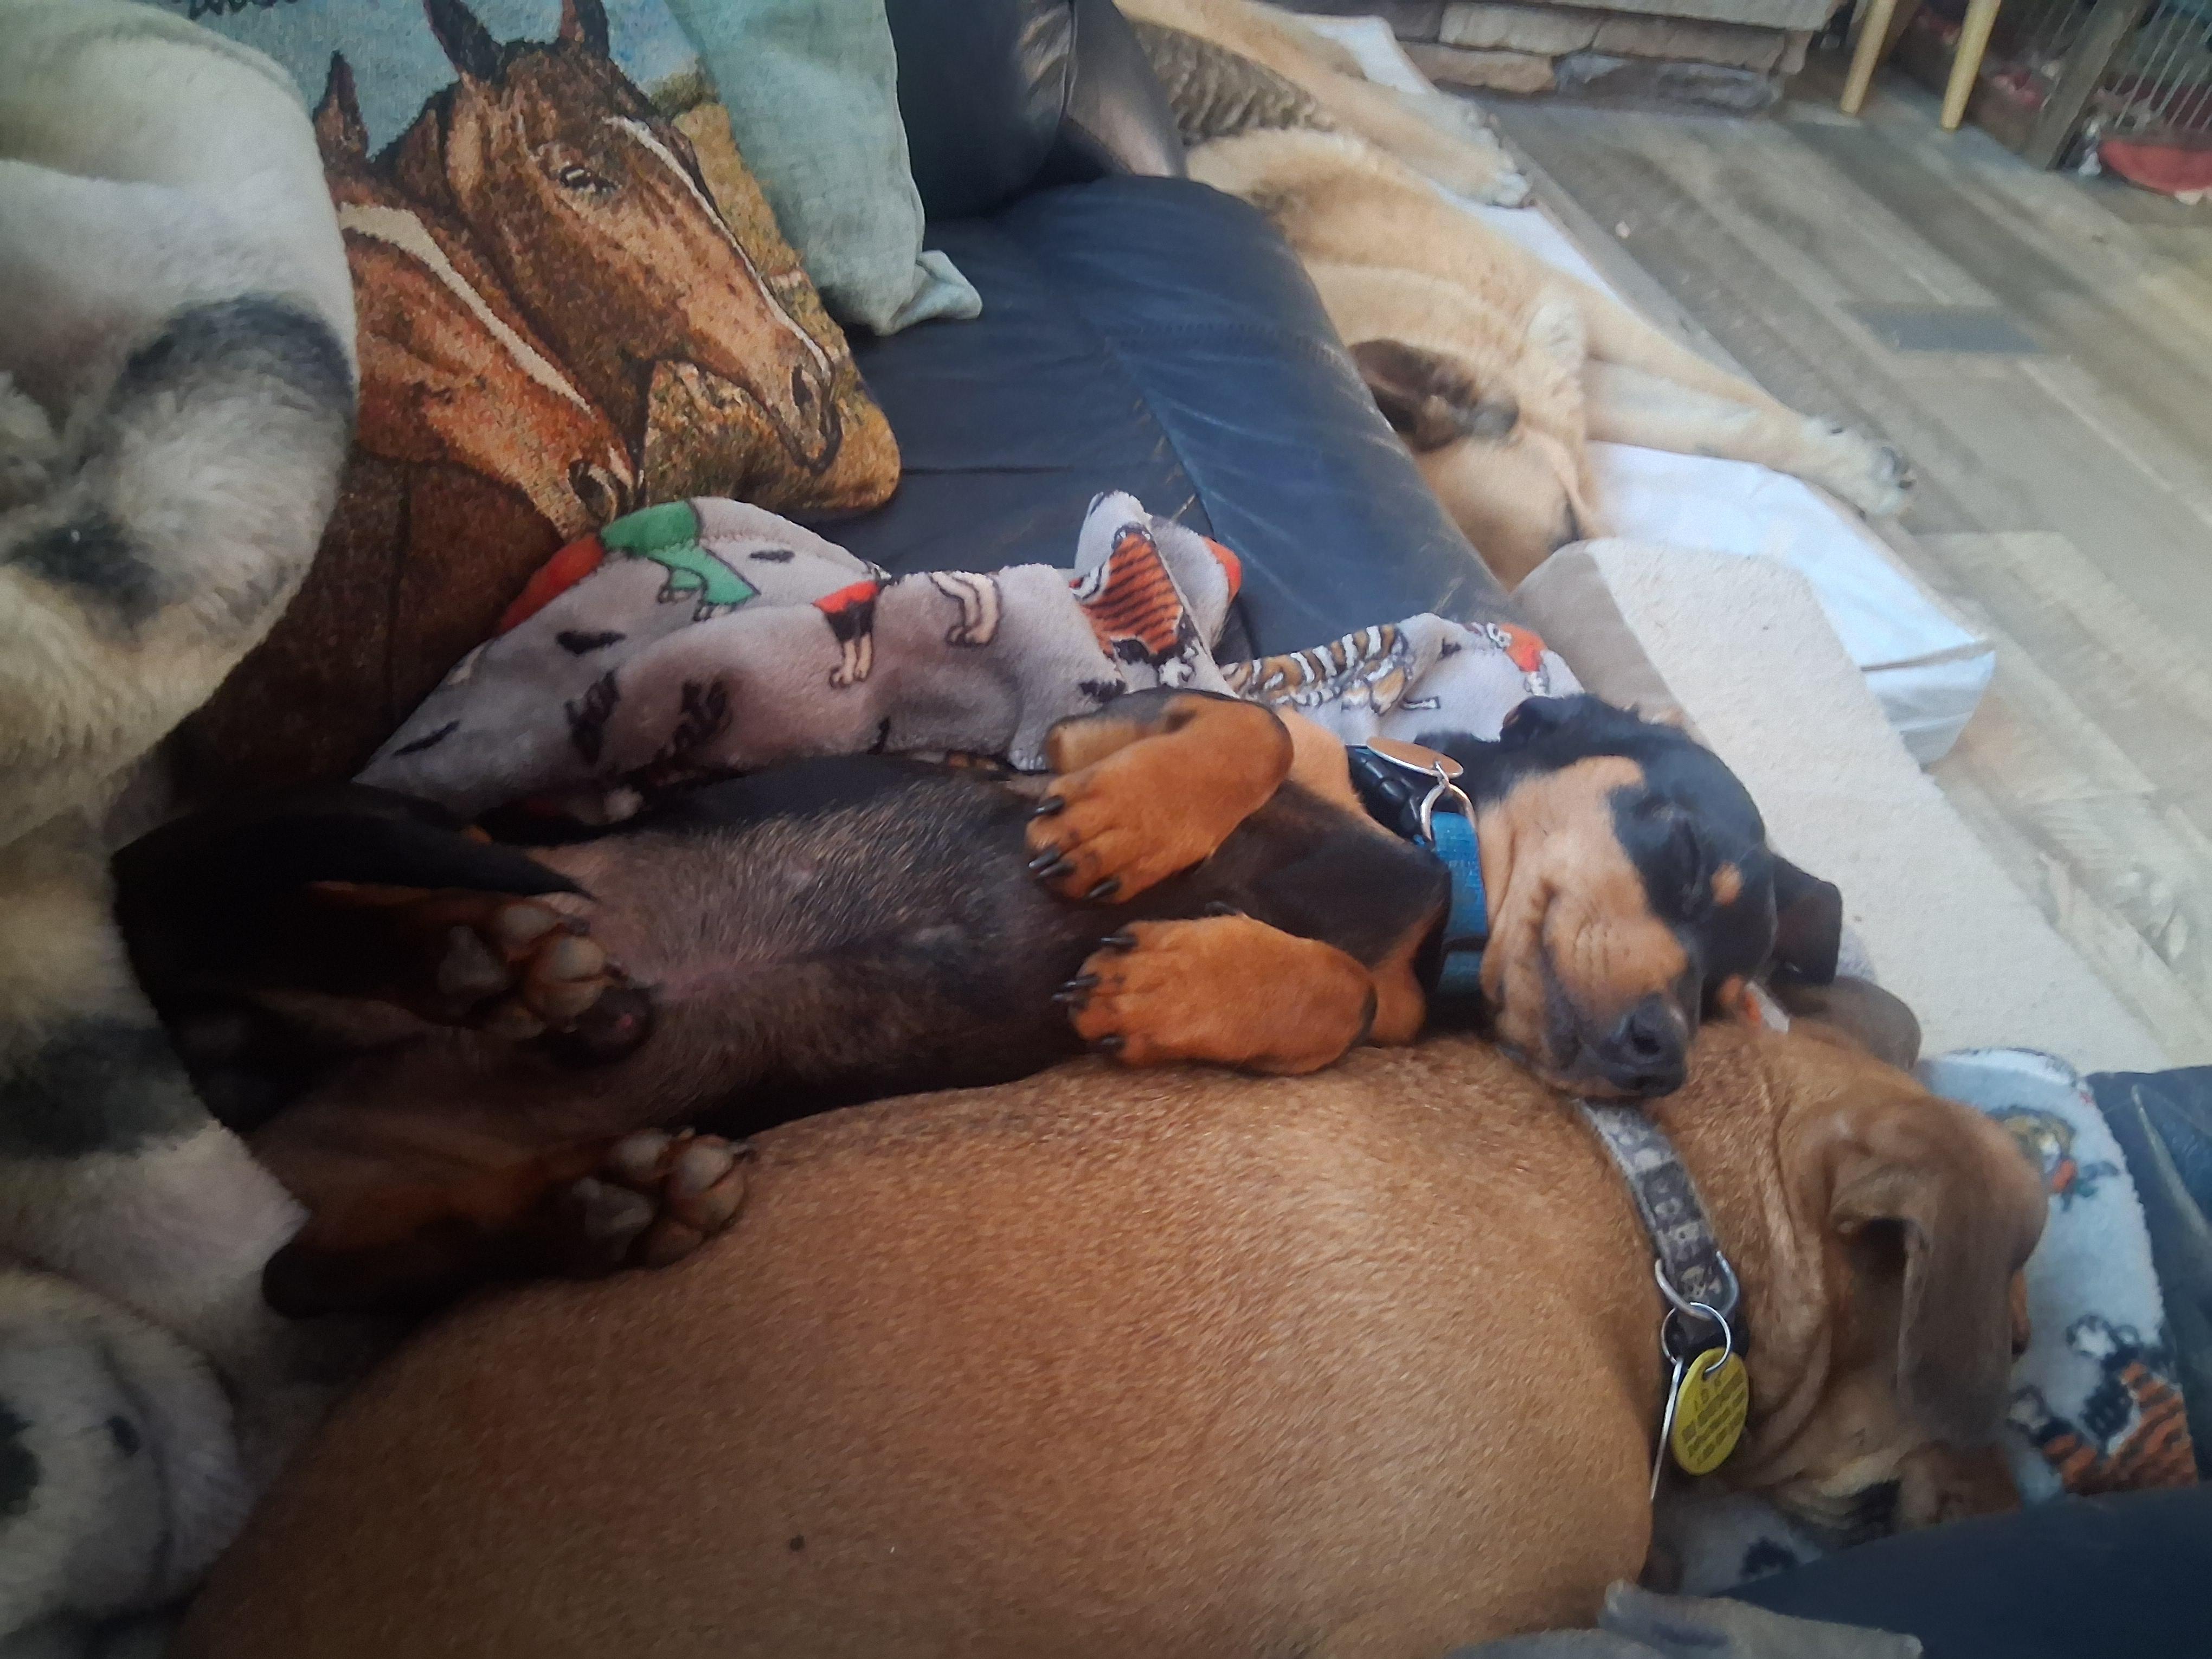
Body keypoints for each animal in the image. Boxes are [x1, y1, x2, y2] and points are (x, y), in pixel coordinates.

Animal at [116, 690, 1840, 1319]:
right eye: (1679, 857)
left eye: (1728, 992)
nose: (1658, 1053)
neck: (1424, 862)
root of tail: (252, 1081)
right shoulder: (1100, 725)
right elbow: (1229, 735)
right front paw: (1128, 846)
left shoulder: (1379, 987)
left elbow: (1339, 1007)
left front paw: (1179, 982)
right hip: (417, 832)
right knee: (260, 899)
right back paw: (484, 953)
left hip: (371, 1190)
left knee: (317, 1273)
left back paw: (601, 1181)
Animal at [1124, 0, 1912, 586]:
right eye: (1565, 548)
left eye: (1569, 526)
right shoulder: (1567, 381)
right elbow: (1711, 423)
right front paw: (1846, 461)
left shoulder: (1574, 314)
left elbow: (1733, 398)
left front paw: (1854, 468)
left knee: (1339, 78)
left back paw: (1464, 144)